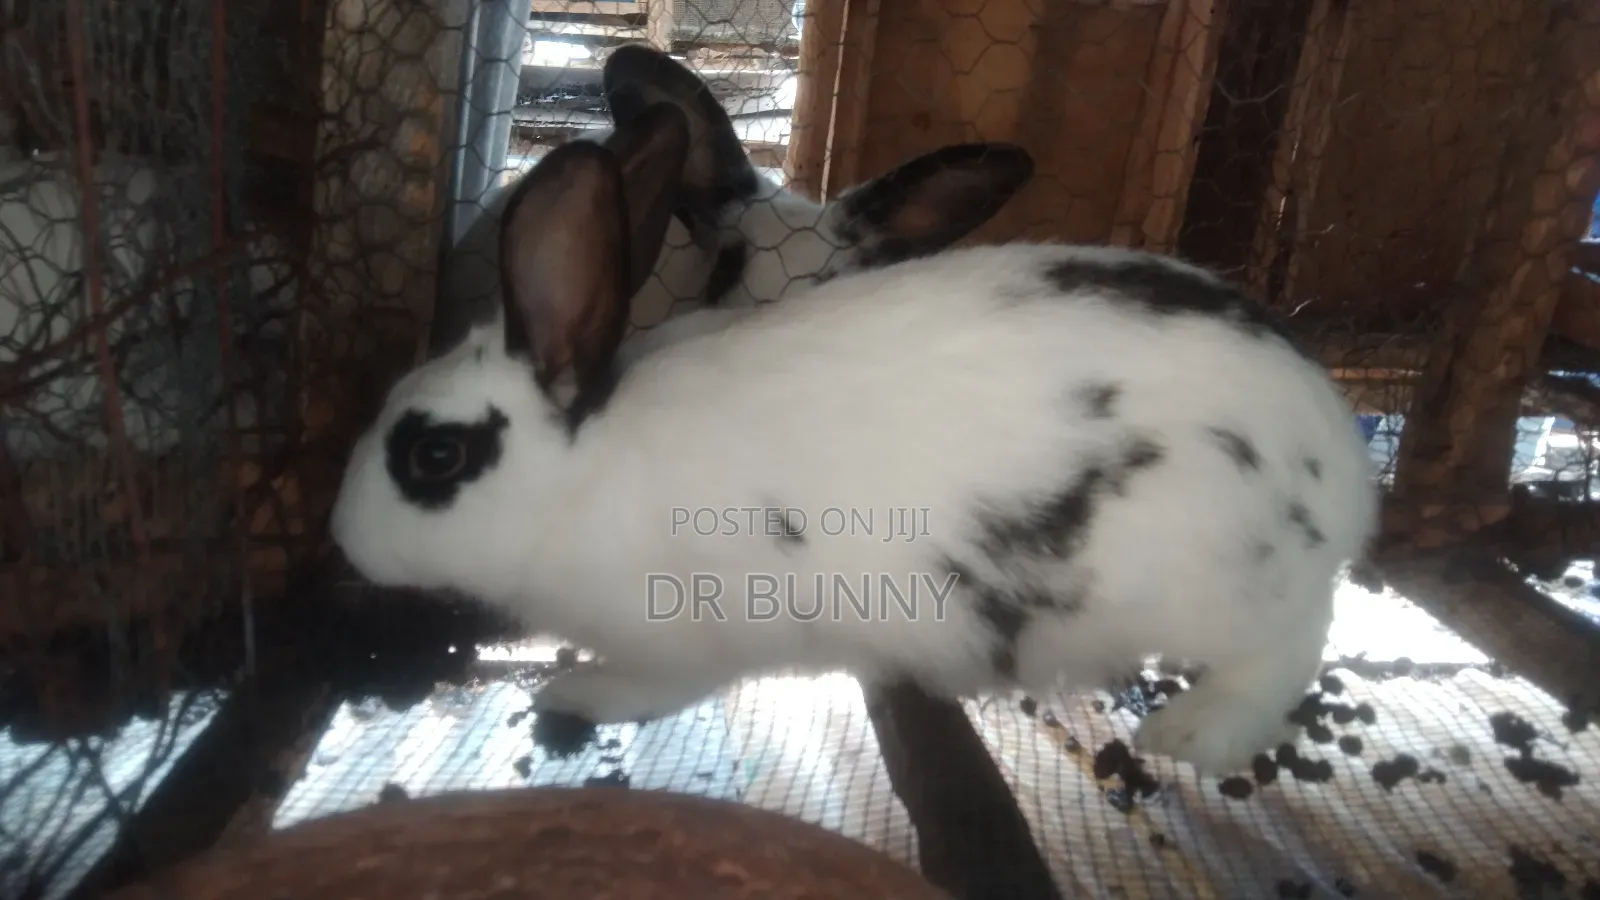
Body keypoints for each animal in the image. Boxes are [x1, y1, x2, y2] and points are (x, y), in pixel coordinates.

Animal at [328, 101, 1380, 777]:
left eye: (435, 456)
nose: (342, 539)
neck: (583, 474)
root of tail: (1339, 461)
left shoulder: (681, 640)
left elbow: (645, 686)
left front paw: (572, 696)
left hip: (1222, 580)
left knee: (1292, 642)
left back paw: (1197, 735)